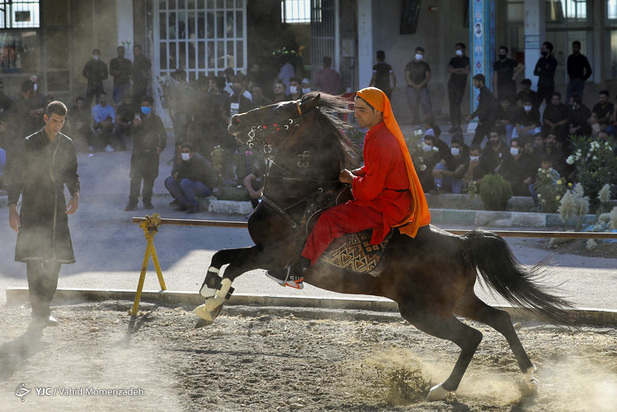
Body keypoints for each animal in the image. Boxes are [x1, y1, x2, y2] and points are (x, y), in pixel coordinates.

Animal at [194, 91, 572, 400]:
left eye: (281, 110)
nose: (235, 120)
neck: (301, 194)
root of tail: (462, 243)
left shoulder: (271, 255)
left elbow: (234, 267)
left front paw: (210, 307)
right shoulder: (260, 250)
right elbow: (220, 257)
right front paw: (208, 294)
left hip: (422, 311)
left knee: (472, 337)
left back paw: (443, 388)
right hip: (457, 301)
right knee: (501, 319)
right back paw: (528, 377)